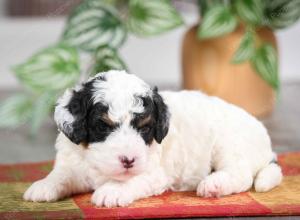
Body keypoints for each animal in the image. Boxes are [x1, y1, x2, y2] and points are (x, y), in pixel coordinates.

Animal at [22, 69, 282, 207]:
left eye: (144, 128)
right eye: (103, 126)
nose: (128, 160)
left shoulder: (155, 171)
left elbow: (132, 179)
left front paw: (112, 190)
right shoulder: (73, 160)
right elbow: (62, 174)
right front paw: (44, 186)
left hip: (228, 143)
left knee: (241, 175)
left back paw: (213, 185)